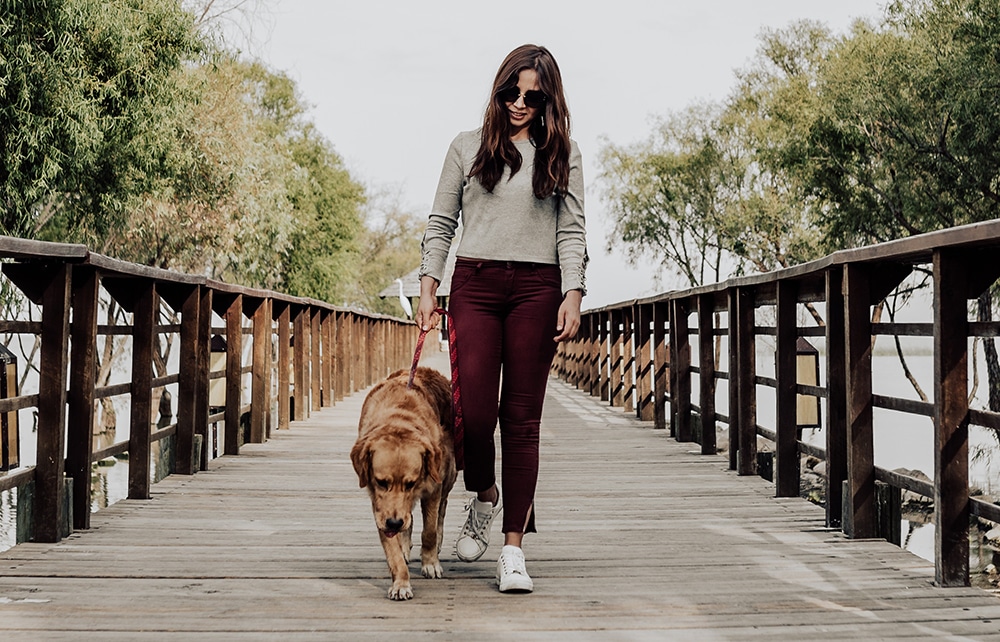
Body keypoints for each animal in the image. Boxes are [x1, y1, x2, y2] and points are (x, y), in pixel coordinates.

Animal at [352, 368, 458, 596]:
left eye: (411, 483)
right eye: (381, 482)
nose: (394, 523)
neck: (399, 421)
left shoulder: (433, 488)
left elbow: (430, 530)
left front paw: (430, 563)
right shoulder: (380, 506)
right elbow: (392, 551)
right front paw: (401, 583)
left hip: (448, 473)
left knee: (441, 511)